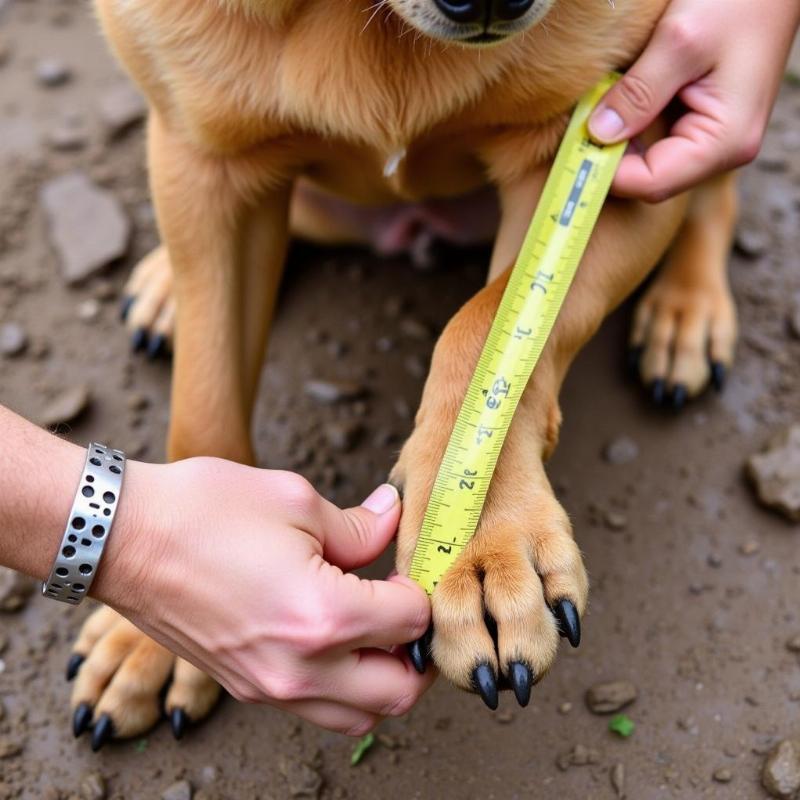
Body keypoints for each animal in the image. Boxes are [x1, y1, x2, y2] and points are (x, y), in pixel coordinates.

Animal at [67, 0, 736, 752]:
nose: (490, 3)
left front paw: (483, 547)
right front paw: (169, 617)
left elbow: (488, 321)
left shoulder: (621, 135)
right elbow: (204, 408)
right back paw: (164, 291)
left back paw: (687, 313)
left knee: (717, 191)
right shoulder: (202, 164)